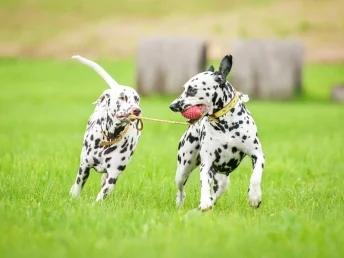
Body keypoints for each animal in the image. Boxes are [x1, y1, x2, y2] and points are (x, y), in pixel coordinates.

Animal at [69, 55, 141, 202]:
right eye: (122, 97)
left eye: (137, 99)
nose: (137, 110)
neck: (109, 137)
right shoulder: (84, 167)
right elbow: (77, 187)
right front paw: (73, 198)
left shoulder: (113, 174)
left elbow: (102, 195)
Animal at [170, 54, 266, 212]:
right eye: (184, 88)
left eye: (192, 90)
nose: (172, 106)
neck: (225, 124)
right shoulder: (206, 164)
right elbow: (204, 183)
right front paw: (204, 201)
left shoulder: (257, 155)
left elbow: (256, 176)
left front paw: (254, 196)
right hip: (183, 169)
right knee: (181, 191)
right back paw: (182, 204)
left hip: (222, 181)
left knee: (216, 192)